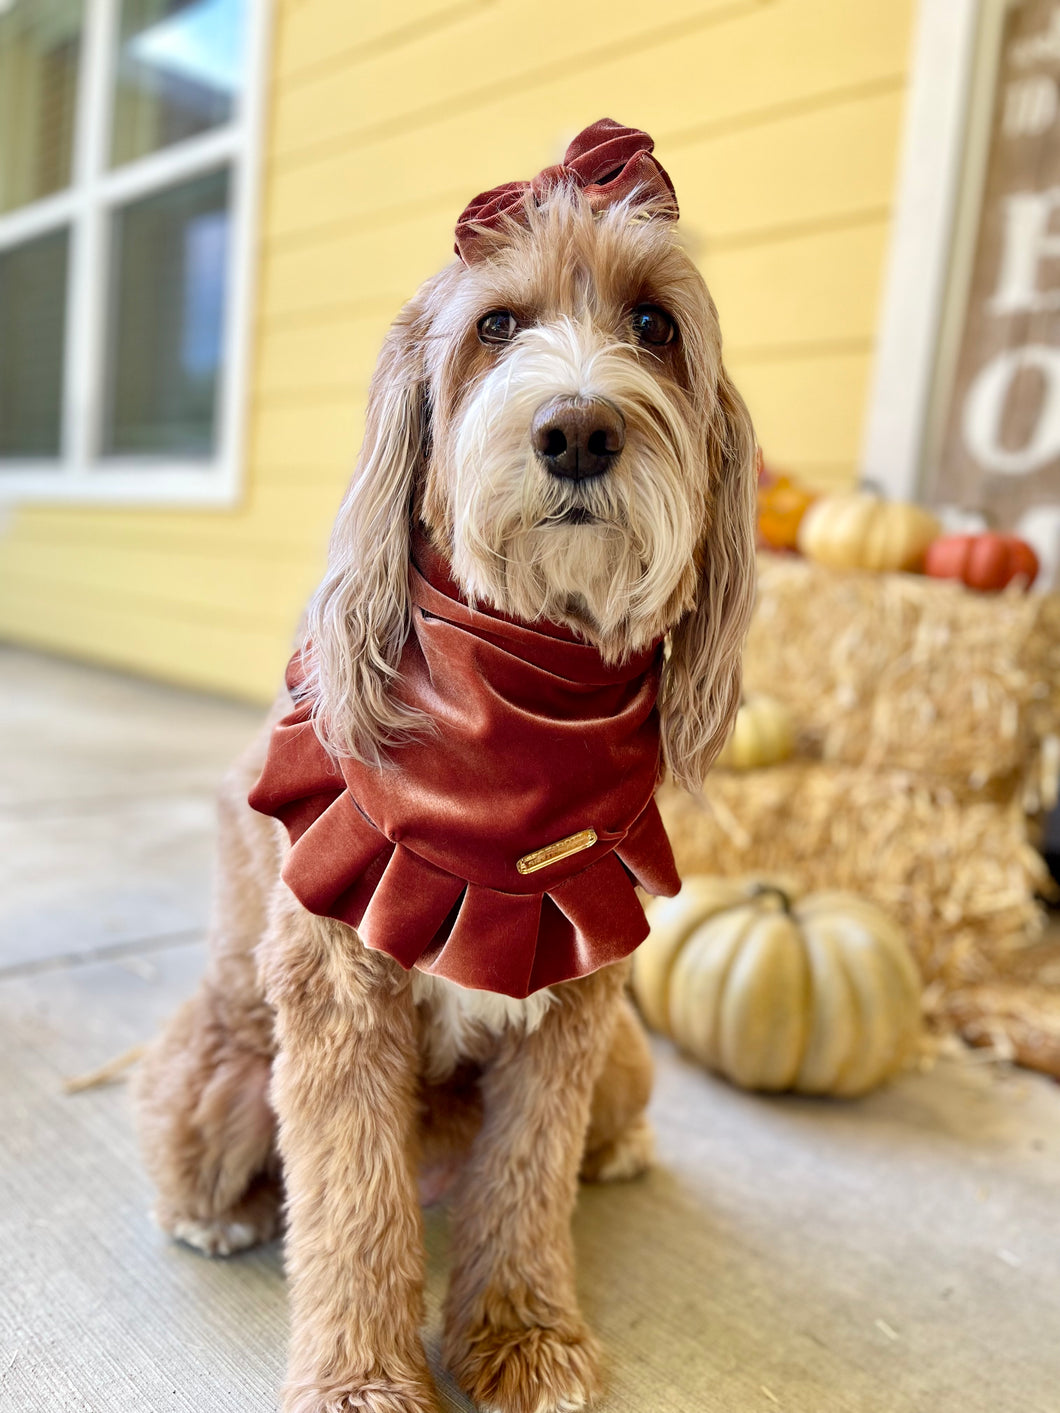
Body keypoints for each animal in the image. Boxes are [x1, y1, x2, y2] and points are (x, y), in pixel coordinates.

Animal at [137, 124, 757, 1413]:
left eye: (656, 324)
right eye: (496, 326)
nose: (576, 429)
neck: (524, 700)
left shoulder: (576, 998)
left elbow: (526, 1181)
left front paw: (525, 1338)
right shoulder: (339, 997)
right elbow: (350, 1206)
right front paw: (363, 1380)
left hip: (628, 1059)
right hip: (224, 1073)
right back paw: (215, 1215)